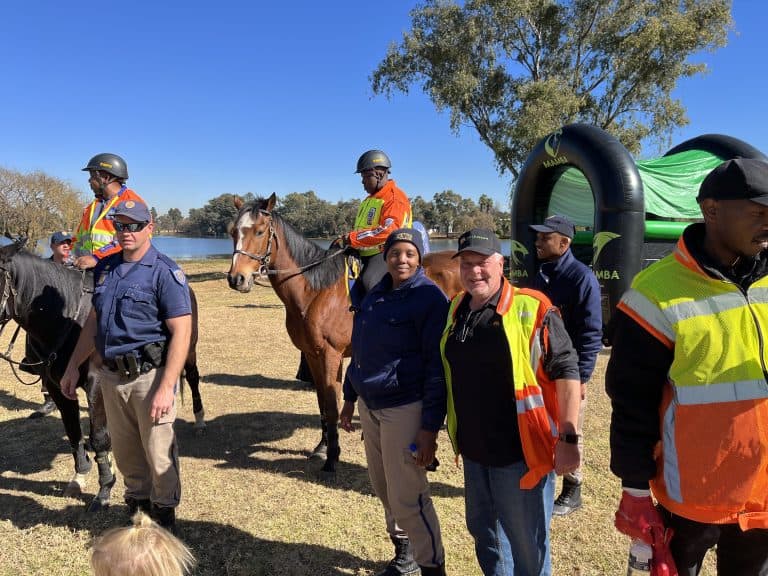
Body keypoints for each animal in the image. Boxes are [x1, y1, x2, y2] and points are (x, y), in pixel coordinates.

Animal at [0, 241, 206, 510]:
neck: (66, 318)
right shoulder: (58, 386)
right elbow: (73, 431)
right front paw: (80, 474)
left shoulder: (96, 384)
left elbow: (98, 436)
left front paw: (105, 488)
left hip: (188, 350)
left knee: (192, 378)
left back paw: (199, 420)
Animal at [225, 196, 460, 474]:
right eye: (233, 232)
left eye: (260, 231)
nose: (236, 278)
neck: (315, 290)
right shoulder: (312, 354)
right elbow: (322, 403)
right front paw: (322, 446)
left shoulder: (331, 355)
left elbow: (331, 404)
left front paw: (332, 456)